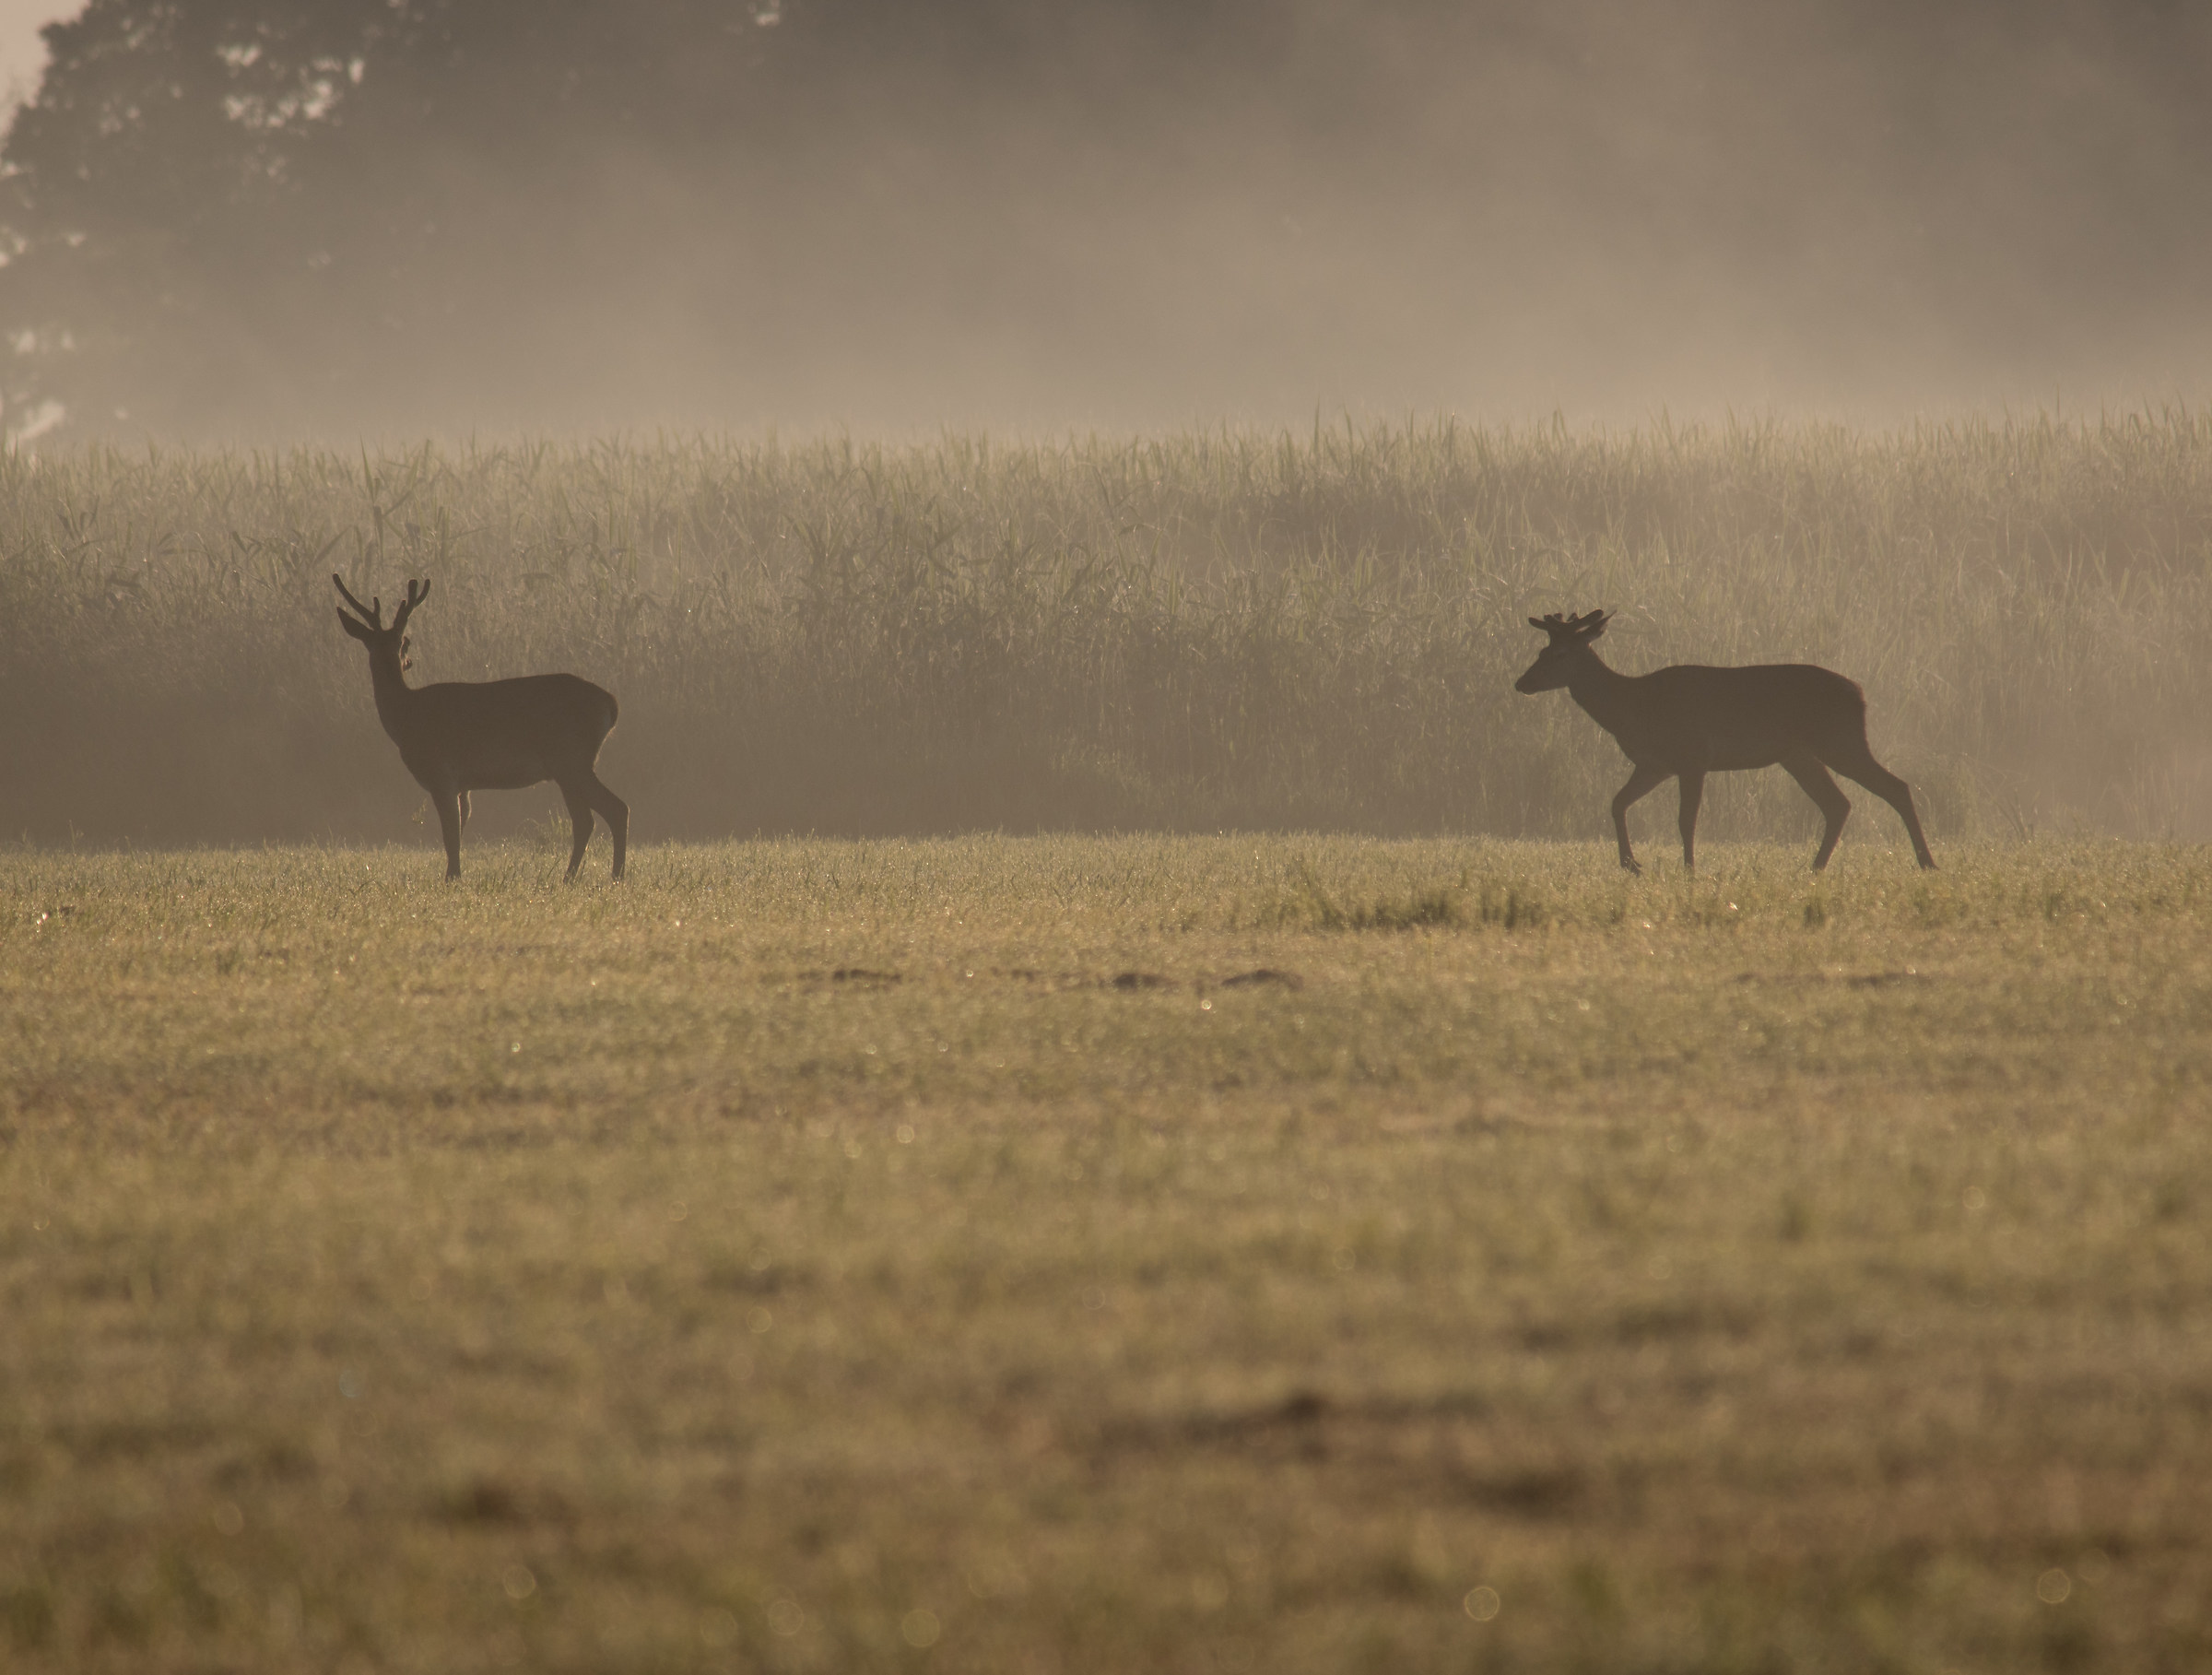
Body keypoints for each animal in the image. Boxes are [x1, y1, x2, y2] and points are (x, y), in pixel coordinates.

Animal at [333, 575, 628, 881]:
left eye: (403, 643)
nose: (408, 661)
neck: (405, 717)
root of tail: (611, 703)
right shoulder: (464, 786)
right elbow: (459, 832)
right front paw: (454, 875)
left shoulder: (441, 773)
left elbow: (450, 835)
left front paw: (452, 879)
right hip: (567, 767)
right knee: (586, 820)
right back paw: (570, 877)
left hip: (571, 759)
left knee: (615, 809)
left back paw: (615, 876)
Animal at [1514, 609, 1934, 874]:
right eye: (1541, 650)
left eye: (1561, 653)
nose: (1522, 682)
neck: (1634, 706)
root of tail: (1860, 694)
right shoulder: (1653, 764)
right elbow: (1617, 803)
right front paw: (1632, 865)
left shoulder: (1694, 755)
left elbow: (1686, 819)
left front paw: (1689, 871)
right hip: (1799, 755)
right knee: (1839, 804)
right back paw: (1815, 868)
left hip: (1841, 740)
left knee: (1895, 787)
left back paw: (1927, 862)